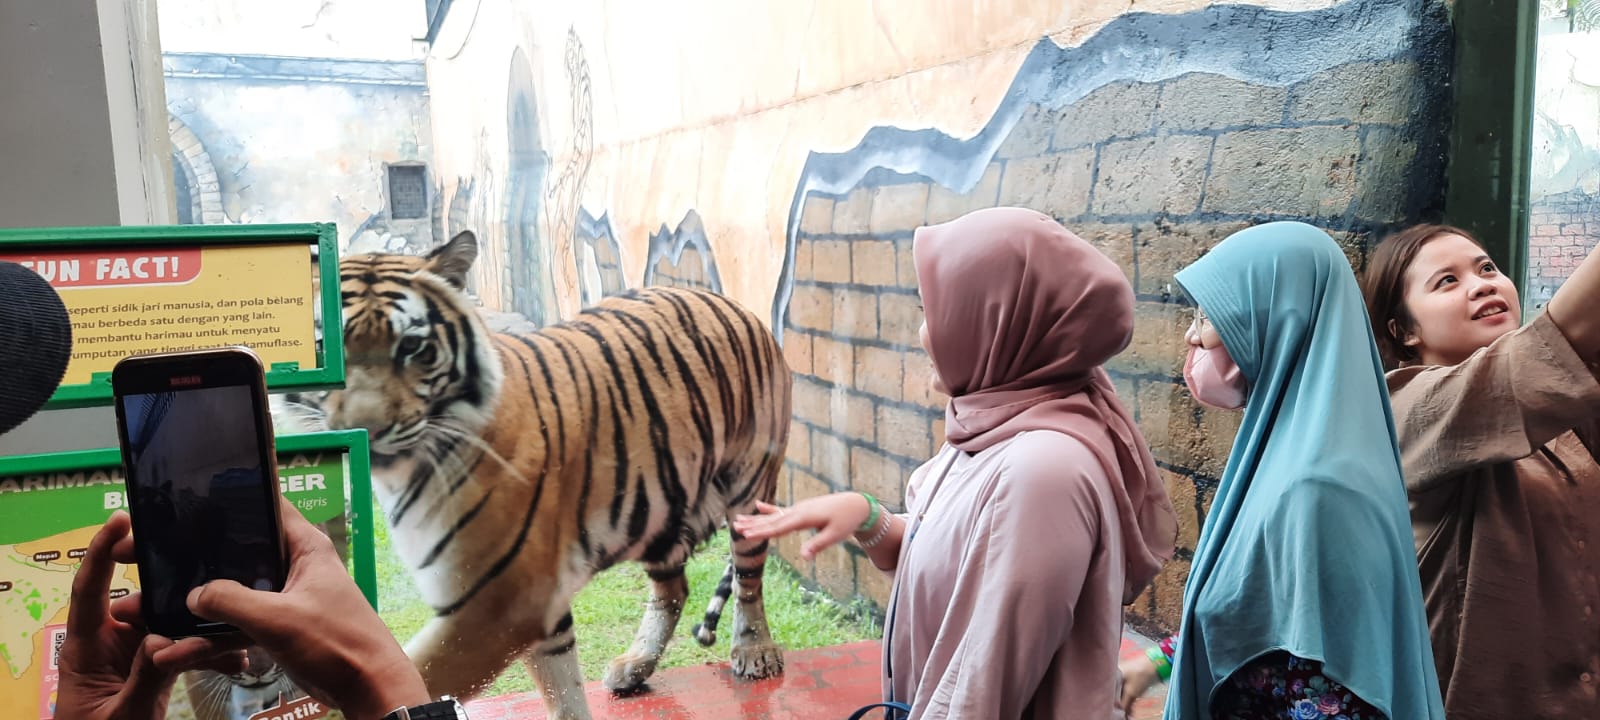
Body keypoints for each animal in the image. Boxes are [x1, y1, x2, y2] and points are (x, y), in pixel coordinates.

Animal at [299, 232, 787, 720]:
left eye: (413, 347)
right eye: (323, 346)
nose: (368, 429)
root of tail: (725, 299)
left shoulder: (499, 601)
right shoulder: (531, 597)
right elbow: (561, 682)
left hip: (746, 490)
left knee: (747, 579)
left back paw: (754, 652)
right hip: (656, 504)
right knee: (674, 588)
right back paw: (635, 665)